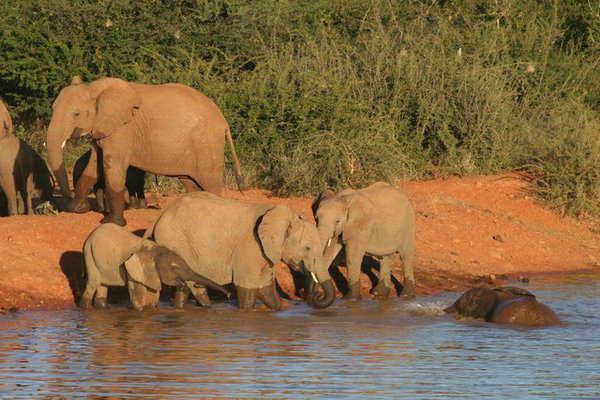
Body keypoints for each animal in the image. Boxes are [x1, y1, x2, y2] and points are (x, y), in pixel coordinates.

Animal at [47, 76, 243, 227]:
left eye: (76, 114)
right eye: (52, 108)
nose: (68, 195)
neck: (95, 89)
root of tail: (224, 122)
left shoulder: (123, 129)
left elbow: (112, 168)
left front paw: (112, 223)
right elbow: (94, 167)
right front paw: (76, 210)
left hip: (207, 145)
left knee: (210, 183)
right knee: (192, 184)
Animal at [80, 223, 230, 310]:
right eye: (174, 268)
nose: (229, 295)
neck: (155, 250)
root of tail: (90, 235)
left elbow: (153, 296)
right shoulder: (133, 268)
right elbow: (138, 298)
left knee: (102, 285)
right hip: (89, 254)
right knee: (93, 282)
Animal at [143, 192, 336, 310]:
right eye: (307, 248)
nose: (314, 297)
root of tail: (159, 217)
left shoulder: (265, 252)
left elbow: (266, 289)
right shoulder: (250, 245)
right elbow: (247, 288)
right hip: (176, 241)